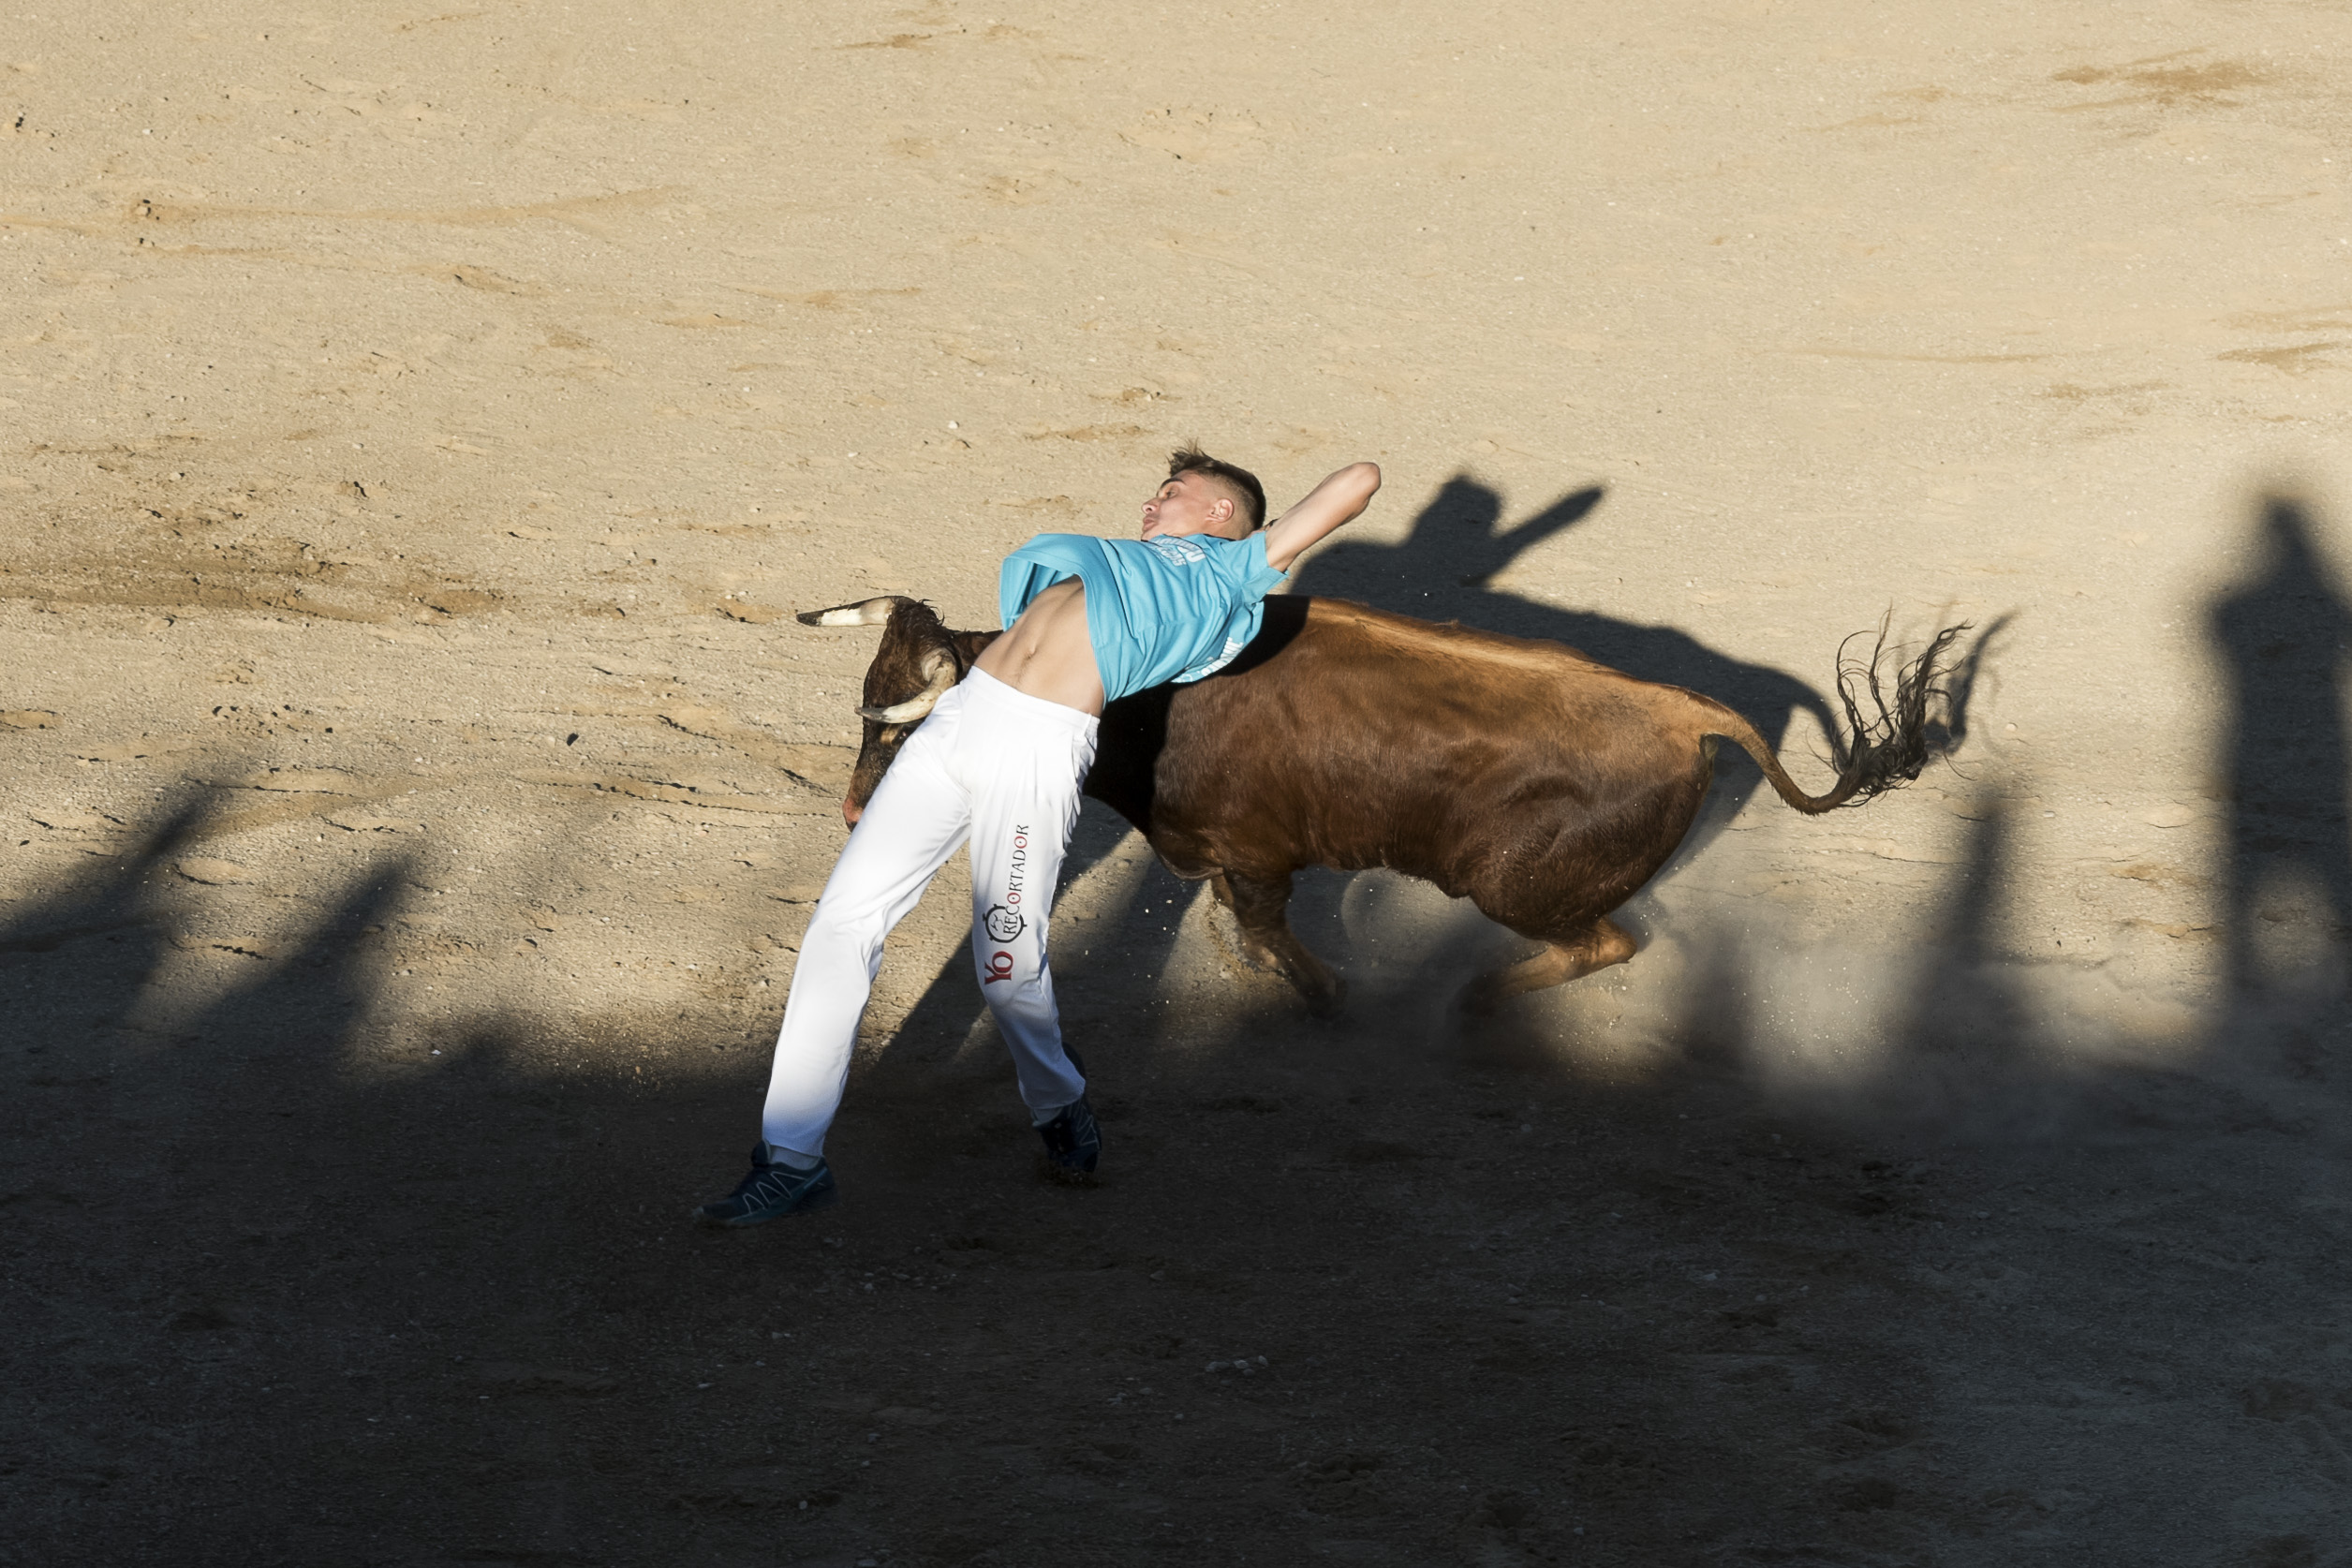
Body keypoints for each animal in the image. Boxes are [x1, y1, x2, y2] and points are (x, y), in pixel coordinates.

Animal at [799, 592, 1957, 1020]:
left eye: (909, 732)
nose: (854, 815)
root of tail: (1680, 710)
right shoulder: (1223, 856)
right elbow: (1241, 927)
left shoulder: (1258, 852)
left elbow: (1272, 927)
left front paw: (1324, 995)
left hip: (1513, 885)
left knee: (1606, 943)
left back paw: (1477, 1000)